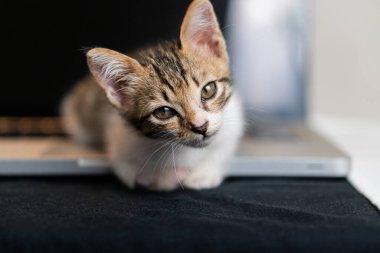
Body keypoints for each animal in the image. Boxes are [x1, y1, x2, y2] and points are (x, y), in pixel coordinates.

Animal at [60, 0, 243, 190]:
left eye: (208, 90)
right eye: (164, 112)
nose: (201, 127)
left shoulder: (233, 122)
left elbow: (222, 148)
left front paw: (204, 173)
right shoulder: (118, 139)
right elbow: (128, 169)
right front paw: (160, 177)